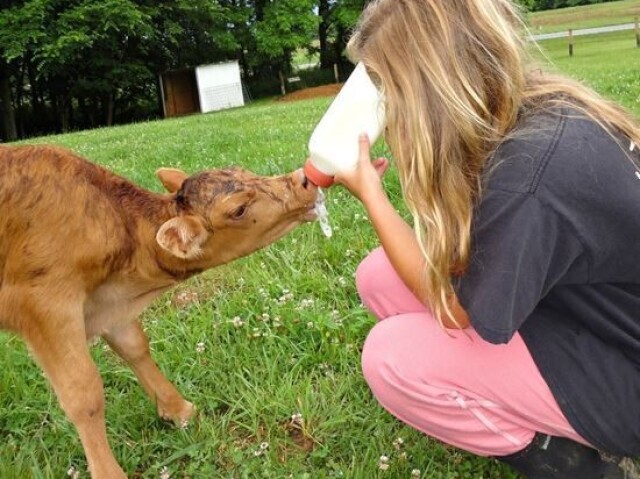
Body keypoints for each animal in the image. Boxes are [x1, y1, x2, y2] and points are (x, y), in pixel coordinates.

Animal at [0, 144, 318, 478]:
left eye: (243, 171)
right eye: (239, 210)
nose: (303, 180)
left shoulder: (108, 304)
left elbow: (135, 346)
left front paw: (180, 410)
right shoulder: (44, 304)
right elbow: (83, 394)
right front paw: (109, 472)